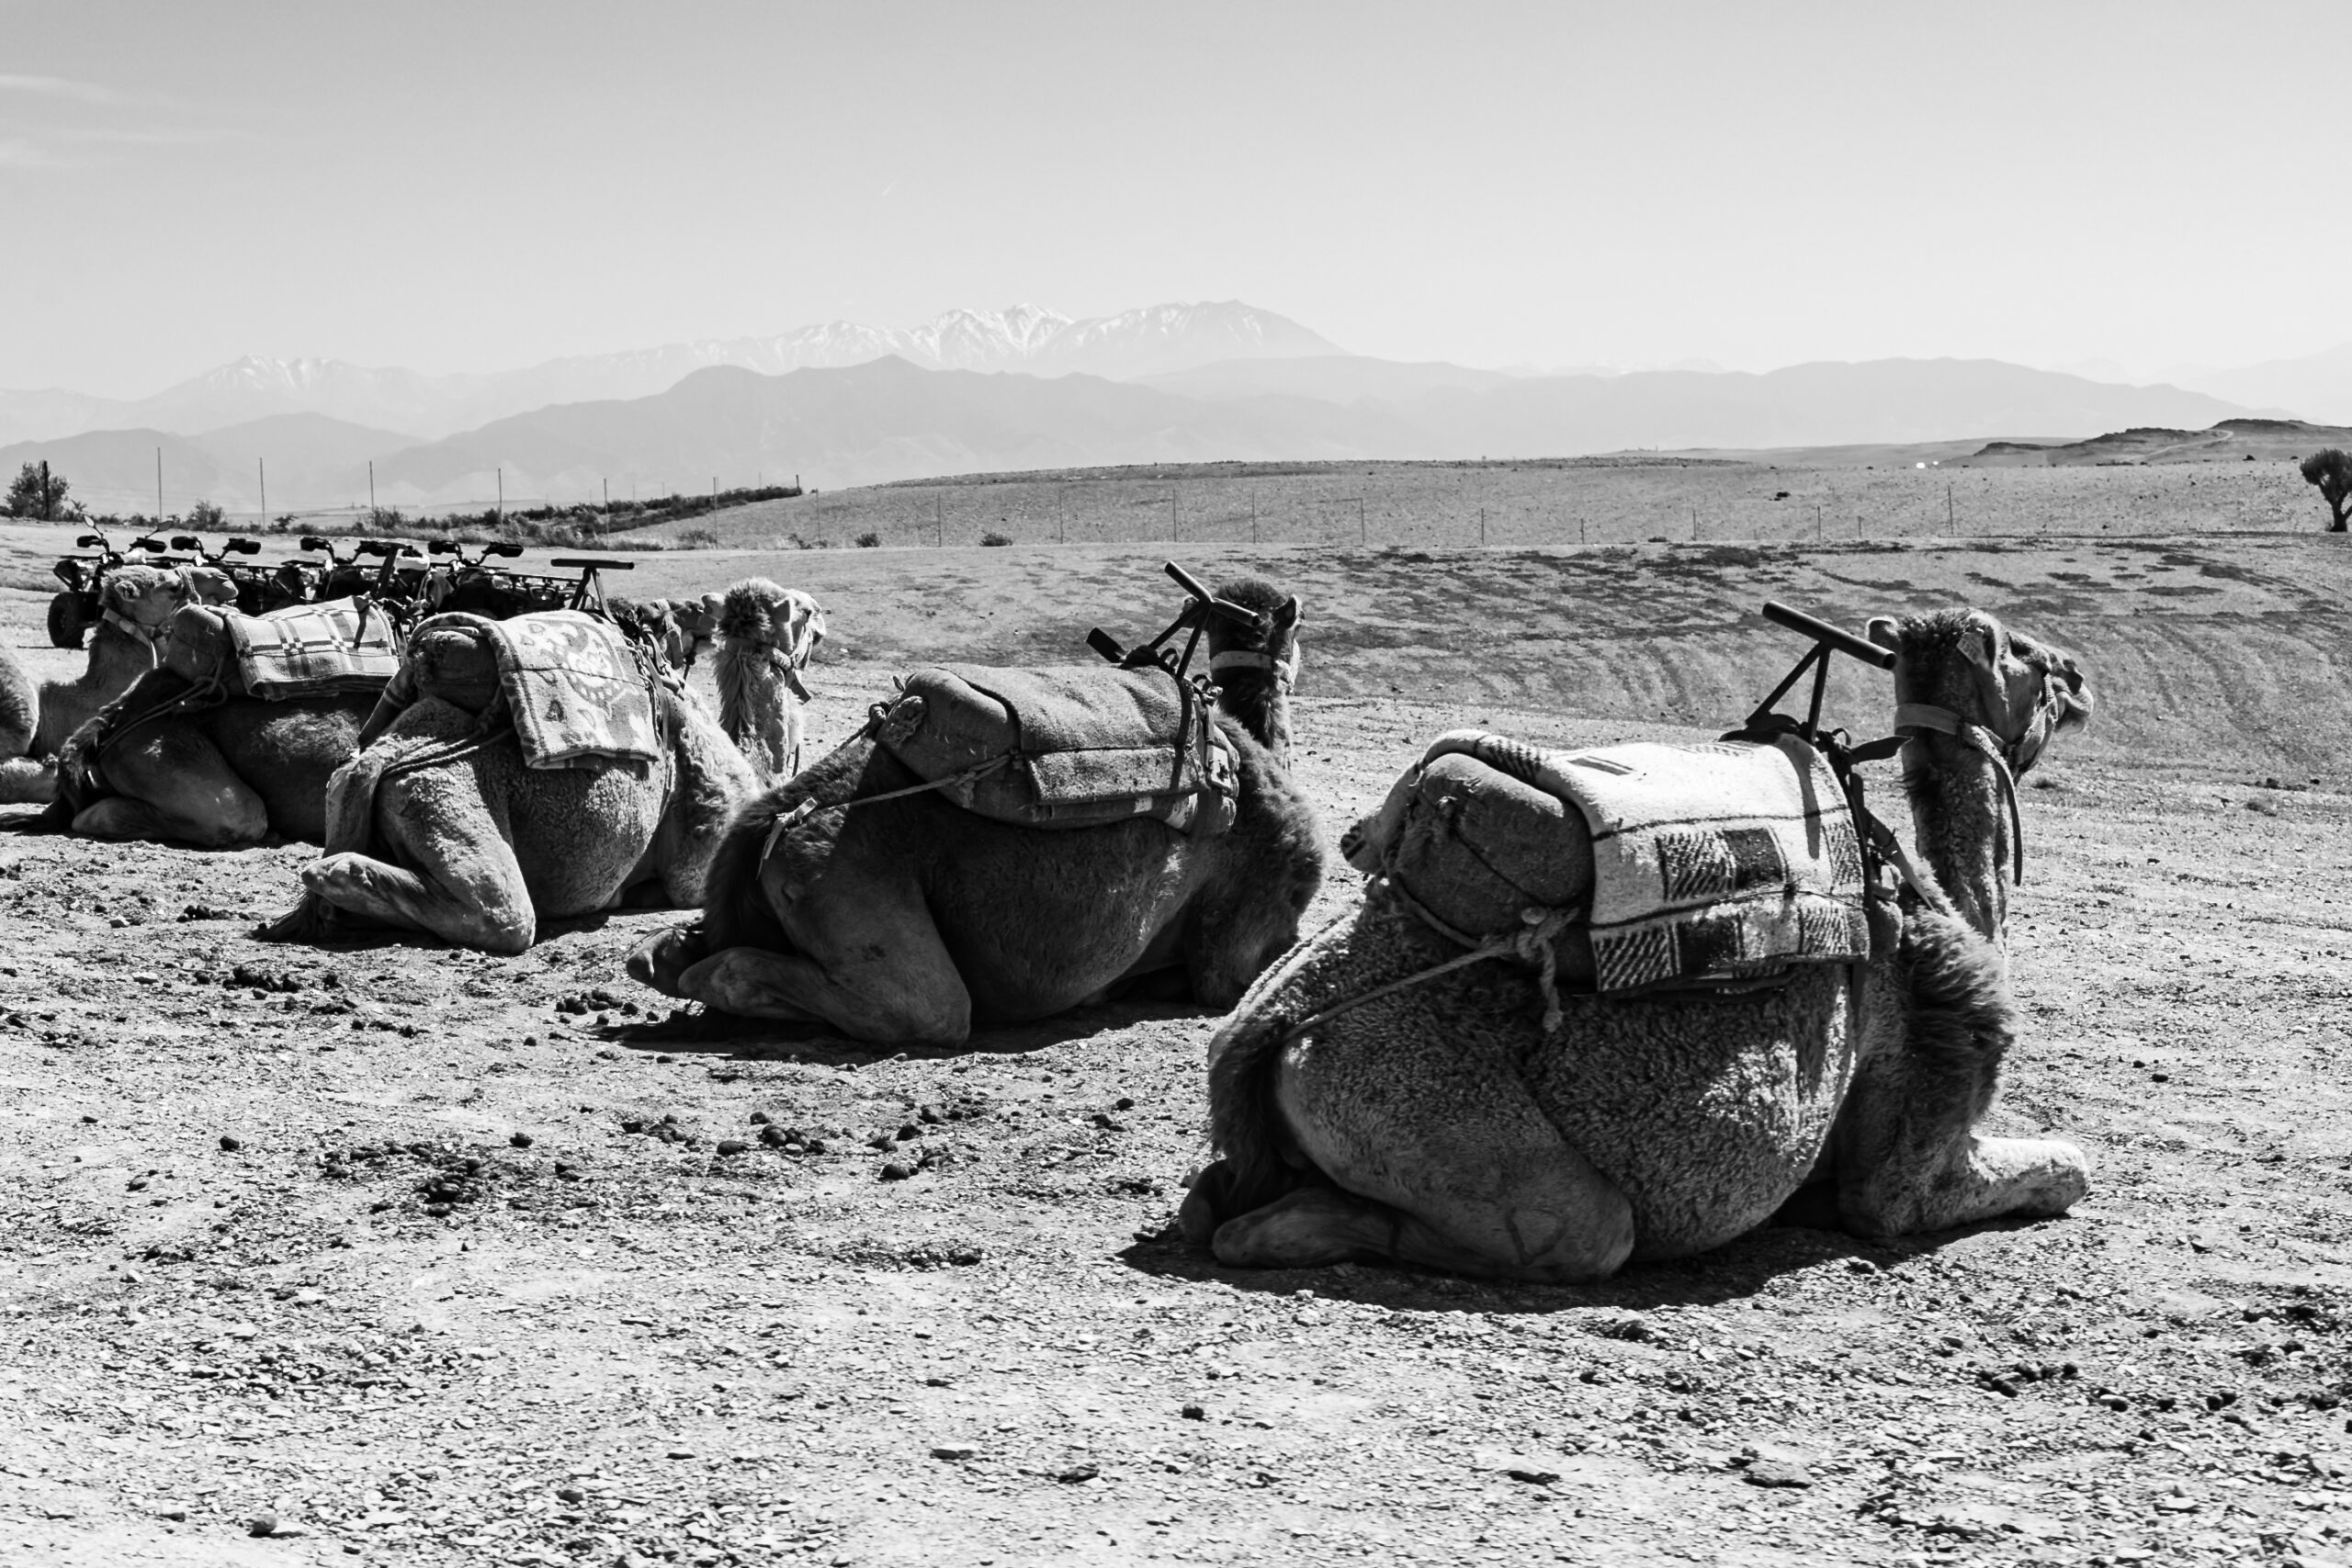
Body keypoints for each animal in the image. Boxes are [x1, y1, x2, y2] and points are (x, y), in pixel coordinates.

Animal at [256, 592, 804, 949]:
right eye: (803, 614)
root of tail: (375, 760)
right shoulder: (697, 861)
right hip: (436, 798)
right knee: (503, 916)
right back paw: (337, 874)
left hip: (348, 786)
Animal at [625, 573, 1326, 1043]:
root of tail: (775, 818)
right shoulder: (1239, 943)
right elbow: (1242, 972)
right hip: (847, 888)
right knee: (926, 1006)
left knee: (658, 954)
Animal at [1176, 606, 2098, 1279]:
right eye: (2022, 652)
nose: (2080, 676)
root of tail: (1275, 1018)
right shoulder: (1912, 1147)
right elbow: (2064, 1168)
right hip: (1431, 1118)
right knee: (1580, 1231)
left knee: (1207, 1203)